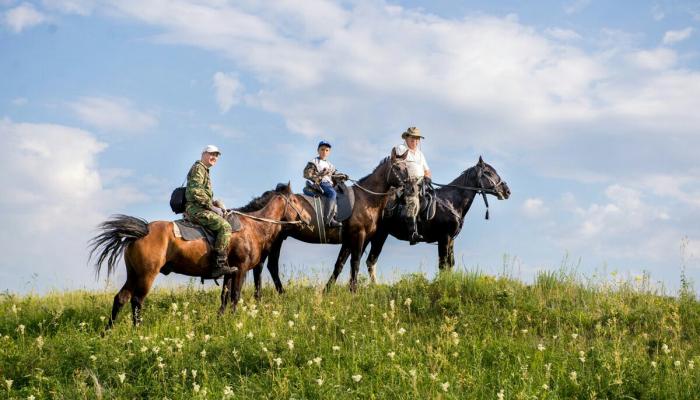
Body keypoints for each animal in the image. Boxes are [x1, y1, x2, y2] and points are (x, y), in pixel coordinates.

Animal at [89, 183, 310, 327]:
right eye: (295, 201)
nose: (308, 219)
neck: (253, 227)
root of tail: (141, 231)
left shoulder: (229, 272)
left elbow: (224, 297)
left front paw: (221, 319)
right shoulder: (241, 270)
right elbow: (235, 296)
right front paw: (234, 321)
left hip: (133, 274)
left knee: (121, 298)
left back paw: (108, 331)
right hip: (146, 275)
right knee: (136, 300)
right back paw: (138, 330)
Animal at [364, 156, 511, 281]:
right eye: (488, 172)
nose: (507, 191)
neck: (451, 202)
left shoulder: (451, 240)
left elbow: (450, 264)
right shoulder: (444, 238)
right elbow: (443, 265)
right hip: (379, 235)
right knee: (370, 261)